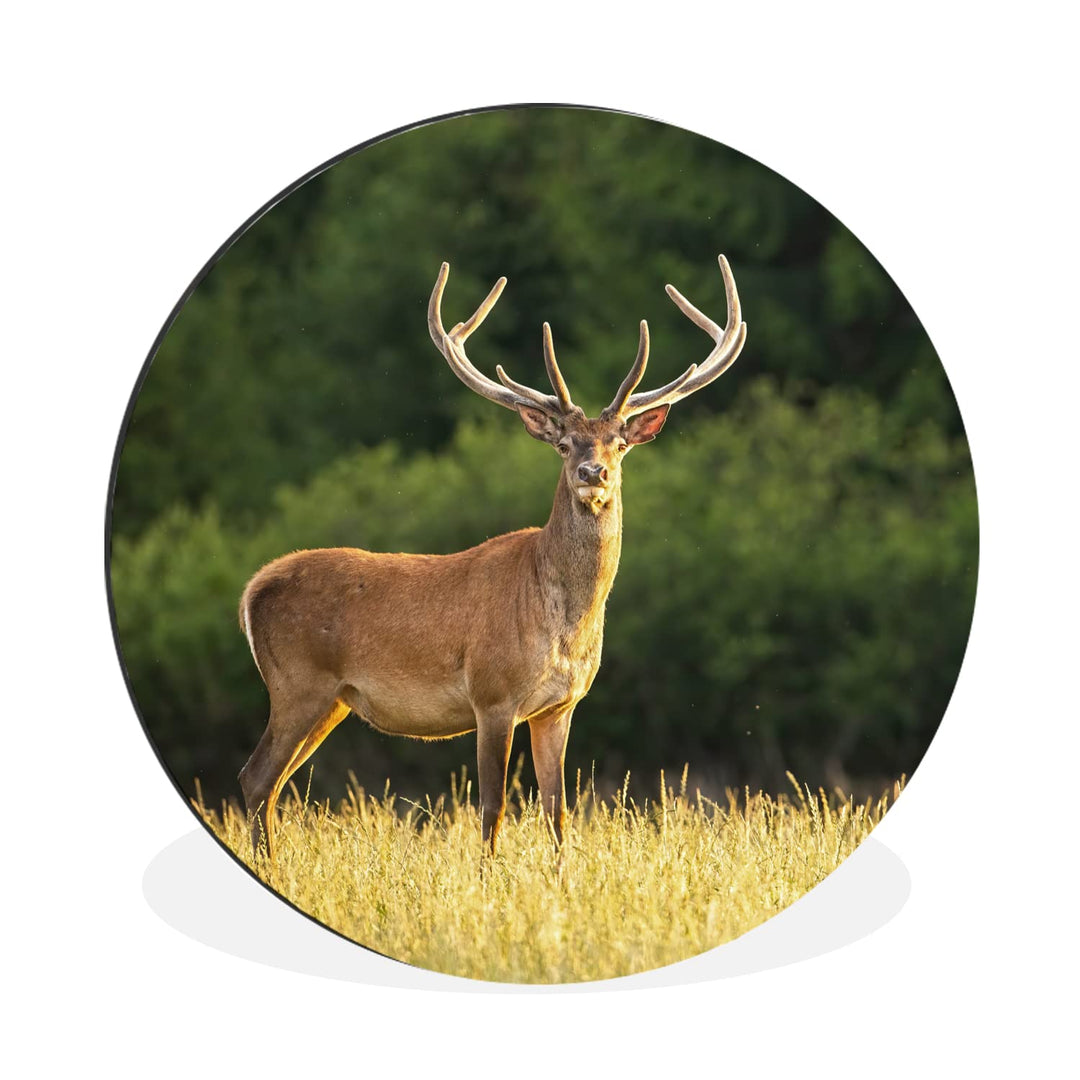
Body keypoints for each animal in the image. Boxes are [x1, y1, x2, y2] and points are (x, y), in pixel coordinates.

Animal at [238, 254, 747, 861]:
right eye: (564, 444)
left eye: (619, 444)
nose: (593, 472)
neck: (562, 622)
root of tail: (252, 591)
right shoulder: (492, 693)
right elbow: (493, 808)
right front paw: (486, 876)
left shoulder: (560, 706)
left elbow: (558, 812)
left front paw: (560, 876)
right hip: (297, 682)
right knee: (255, 777)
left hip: (332, 699)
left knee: (271, 783)